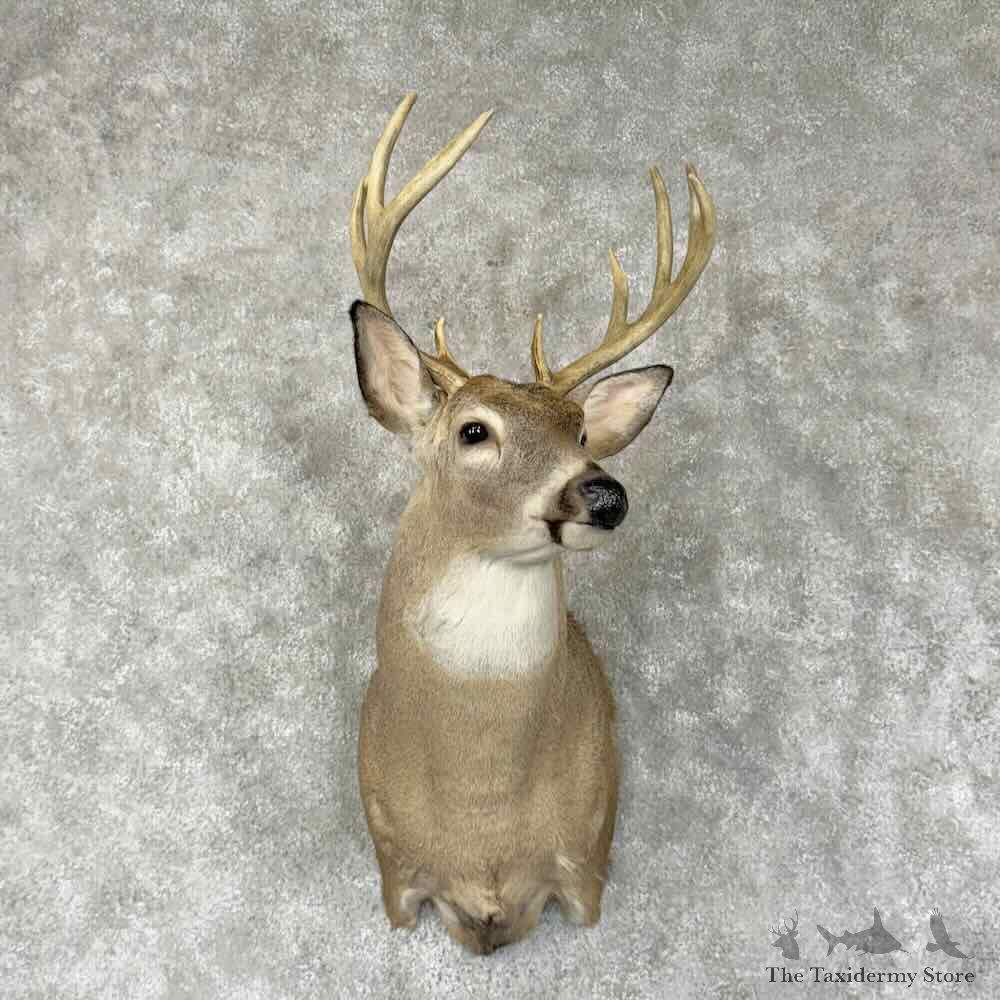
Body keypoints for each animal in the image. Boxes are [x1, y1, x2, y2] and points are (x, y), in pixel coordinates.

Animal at [349, 93, 716, 956]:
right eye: (473, 430)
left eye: (581, 431)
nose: (603, 494)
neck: (483, 815)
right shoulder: (393, 865)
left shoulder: (586, 861)